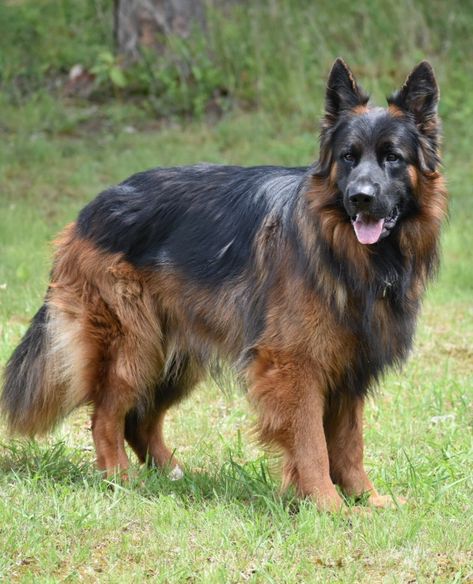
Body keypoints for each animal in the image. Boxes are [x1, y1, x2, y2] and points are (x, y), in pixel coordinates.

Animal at [1, 60, 444, 512]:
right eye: (348, 158)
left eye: (392, 157)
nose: (360, 198)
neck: (343, 252)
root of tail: (92, 208)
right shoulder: (295, 367)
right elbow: (312, 446)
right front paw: (327, 506)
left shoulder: (349, 371)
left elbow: (350, 444)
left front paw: (367, 500)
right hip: (133, 346)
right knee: (106, 416)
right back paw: (120, 479)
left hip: (174, 359)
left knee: (139, 420)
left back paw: (172, 475)